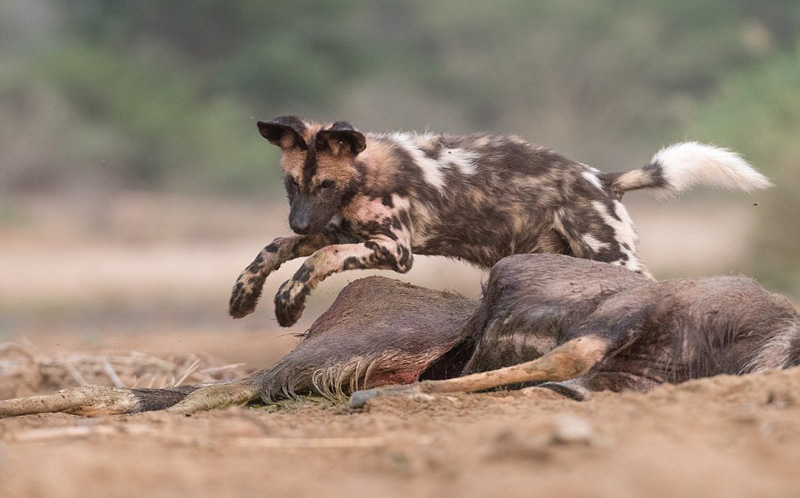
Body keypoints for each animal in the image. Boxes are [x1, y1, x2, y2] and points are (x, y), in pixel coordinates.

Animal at [228, 115, 772, 326]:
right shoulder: (336, 230)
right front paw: (245, 296)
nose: (300, 221)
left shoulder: (394, 250)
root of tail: (600, 178)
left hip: (609, 256)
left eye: (327, 184)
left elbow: (319, 258)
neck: (363, 177)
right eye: (292, 184)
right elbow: (273, 249)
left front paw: (288, 303)